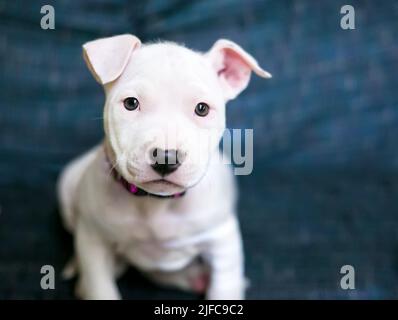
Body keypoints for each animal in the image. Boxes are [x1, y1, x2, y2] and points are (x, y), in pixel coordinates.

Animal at [57, 35, 270, 300]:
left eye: (202, 108)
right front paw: (91, 284)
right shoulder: (93, 241)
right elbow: (101, 288)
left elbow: (225, 288)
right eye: (131, 103)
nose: (166, 158)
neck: (156, 204)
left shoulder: (223, 239)